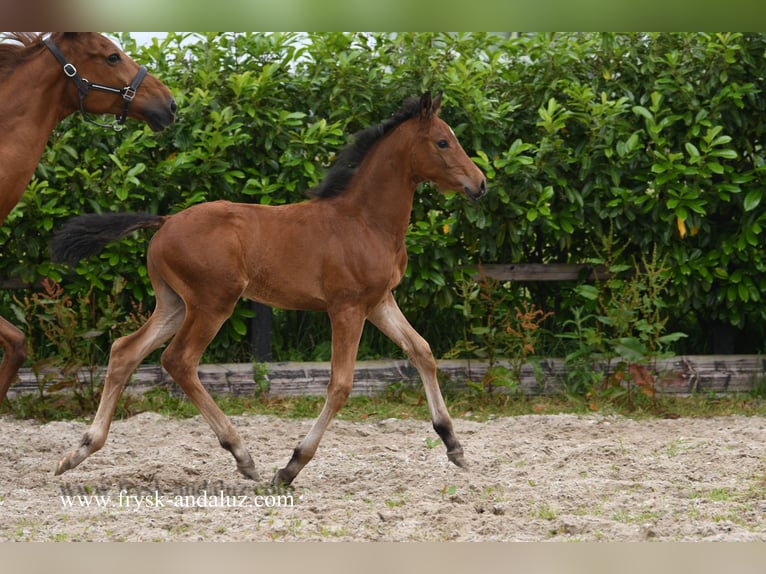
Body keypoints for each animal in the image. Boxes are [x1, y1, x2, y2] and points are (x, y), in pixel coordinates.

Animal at [52, 91, 486, 486]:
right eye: (443, 141)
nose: (480, 184)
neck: (364, 221)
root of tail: (165, 221)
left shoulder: (379, 301)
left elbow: (422, 352)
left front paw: (454, 446)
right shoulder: (346, 307)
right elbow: (341, 384)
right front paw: (291, 466)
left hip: (174, 304)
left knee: (125, 350)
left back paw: (80, 450)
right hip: (212, 303)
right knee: (179, 360)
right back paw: (242, 455)